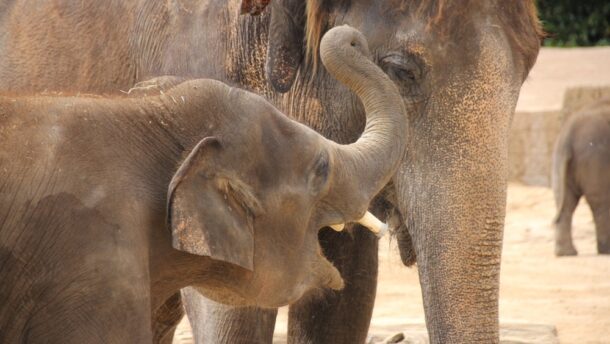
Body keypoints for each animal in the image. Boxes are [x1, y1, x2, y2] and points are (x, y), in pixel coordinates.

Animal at [552, 97, 608, 255]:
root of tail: (569, 134)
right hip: (596, 158)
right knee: (601, 203)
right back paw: (605, 250)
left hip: (562, 161)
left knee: (566, 201)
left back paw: (566, 253)